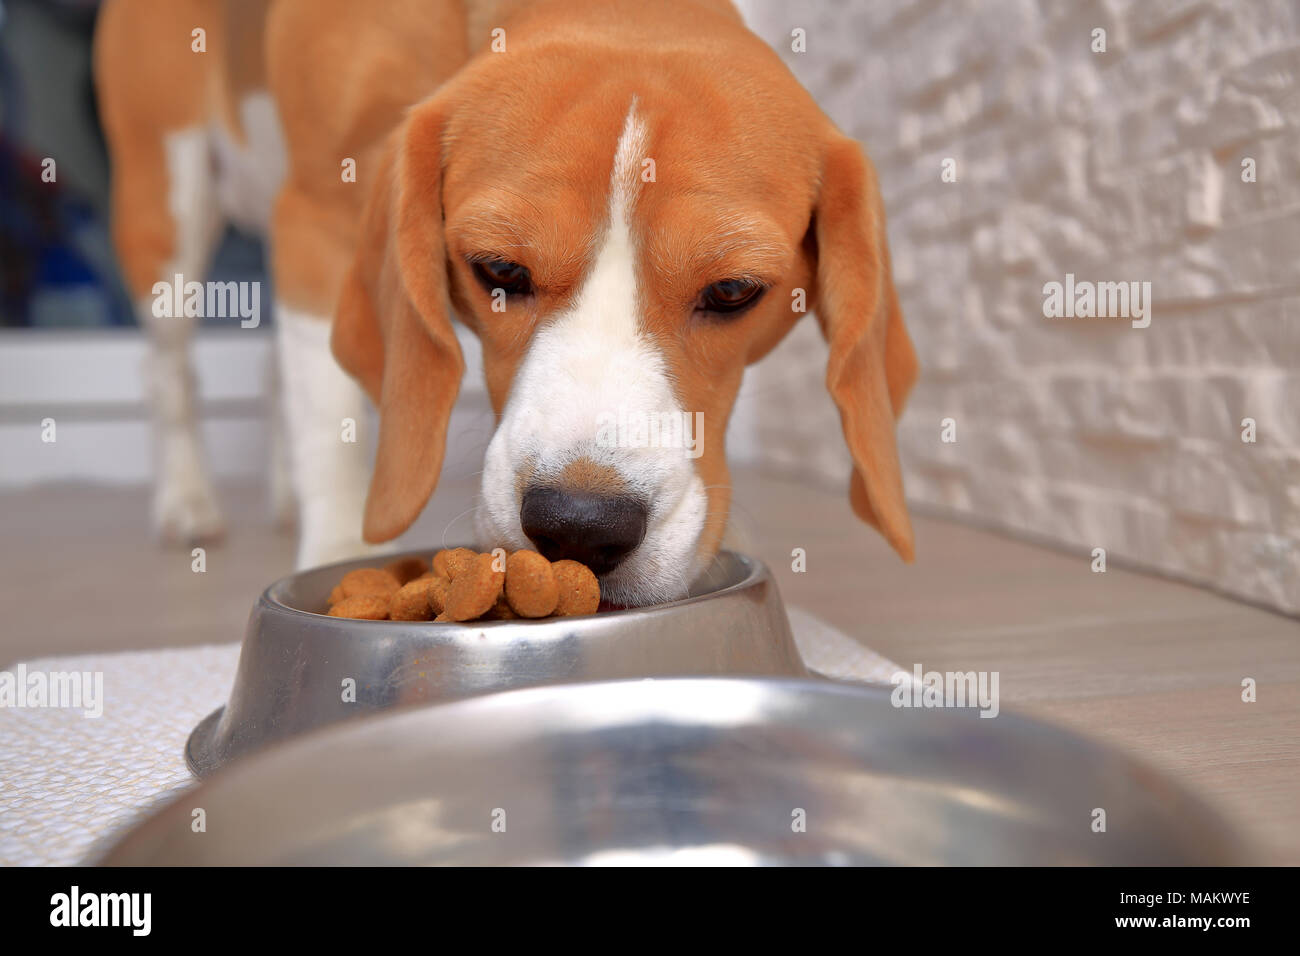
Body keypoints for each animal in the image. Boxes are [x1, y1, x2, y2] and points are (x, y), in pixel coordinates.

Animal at [96, 0, 920, 606]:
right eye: (497, 269)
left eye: (732, 291)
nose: (581, 527)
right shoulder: (317, 221)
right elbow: (332, 428)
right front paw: (338, 550)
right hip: (166, 202)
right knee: (168, 368)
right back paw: (187, 502)